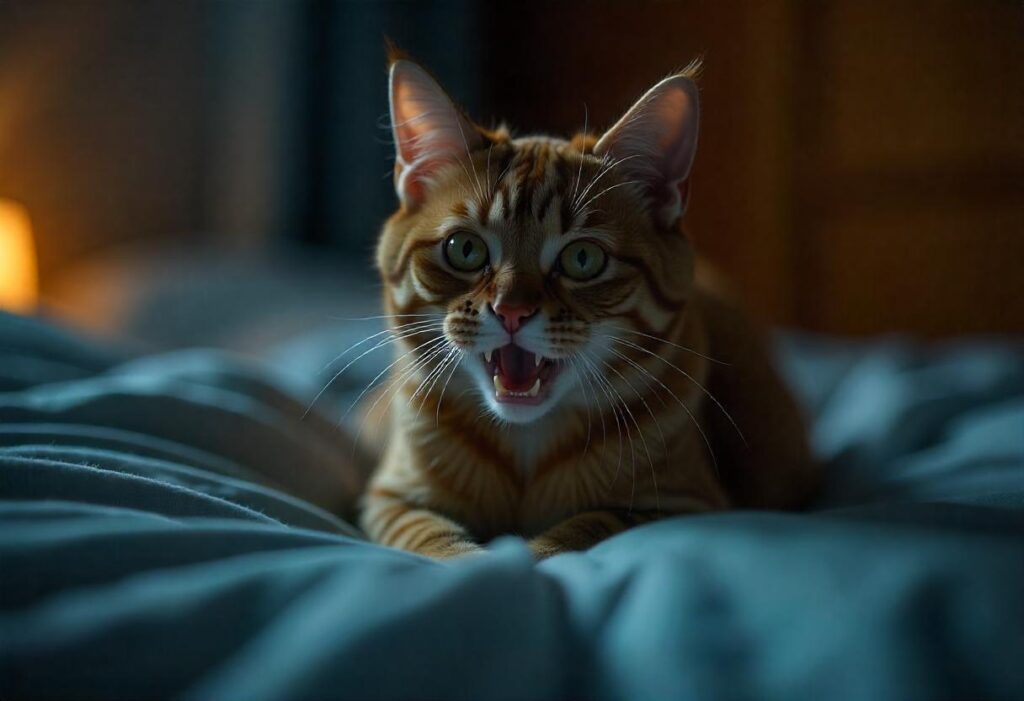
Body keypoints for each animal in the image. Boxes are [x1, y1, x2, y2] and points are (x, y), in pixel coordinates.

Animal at [356, 53, 819, 556]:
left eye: (582, 259)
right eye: (465, 249)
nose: (511, 311)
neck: (526, 442)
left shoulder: (686, 503)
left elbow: (589, 524)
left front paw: (528, 557)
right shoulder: (390, 498)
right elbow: (429, 538)